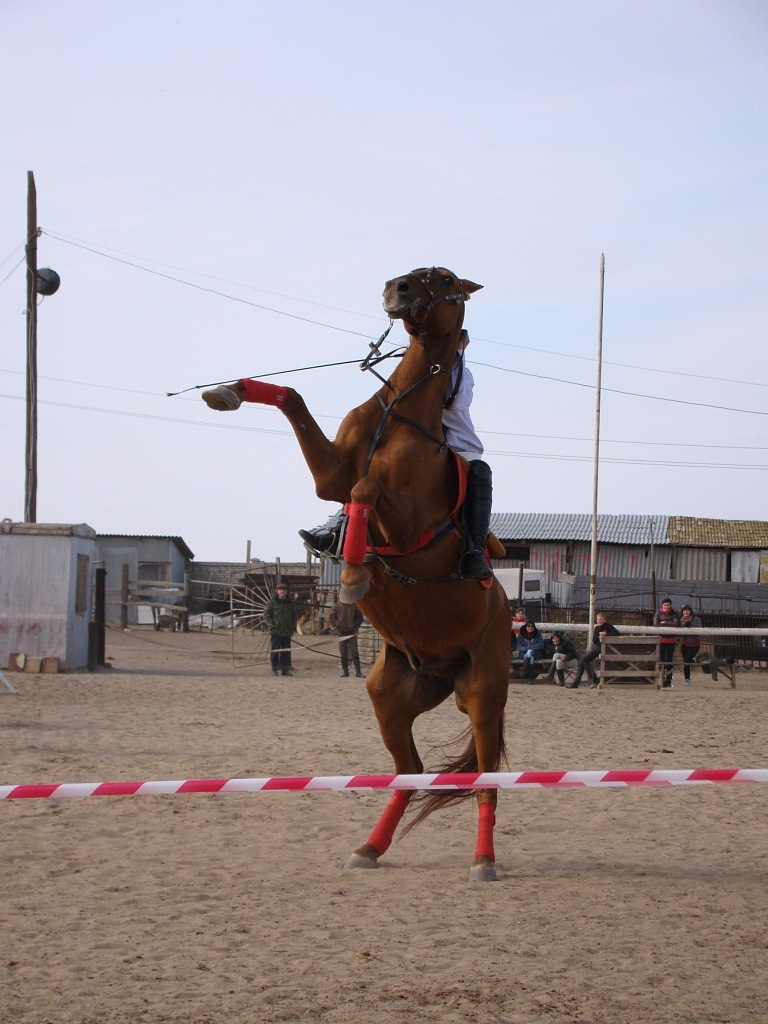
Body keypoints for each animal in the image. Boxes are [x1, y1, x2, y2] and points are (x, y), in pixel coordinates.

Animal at [204, 266, 512, 880]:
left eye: (443, 278)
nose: (397, 288)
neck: (401, 415)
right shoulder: (330, 477)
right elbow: (298, 403)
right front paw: (228, 391)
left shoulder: (406, 514)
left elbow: (367, 488)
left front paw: (351, 575)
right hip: (392, 694)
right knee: (410, 771)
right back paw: (369, 847)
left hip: (485, 690)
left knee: (486, 778)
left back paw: (483, 860)